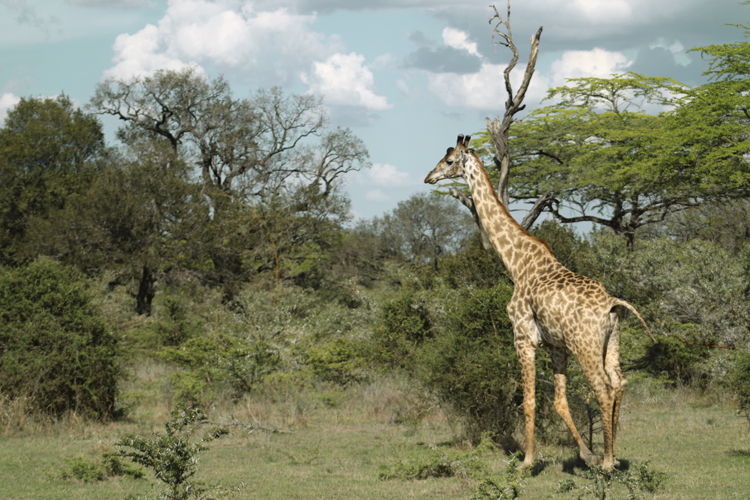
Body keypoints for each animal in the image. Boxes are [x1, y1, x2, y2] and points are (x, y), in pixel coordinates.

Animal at [426, 134, 660, 468]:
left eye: (448, 161)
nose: (428, 177)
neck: (516, 263)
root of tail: (612, 305)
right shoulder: (555, 345)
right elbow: (560, 402)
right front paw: (586, 454)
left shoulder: (523, 337)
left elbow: (529, 401)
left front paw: (527, 461)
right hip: (611, 343)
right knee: (619, 383)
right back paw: (612, 457)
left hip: (585, 347)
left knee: (602, 389)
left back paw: (606, 463)